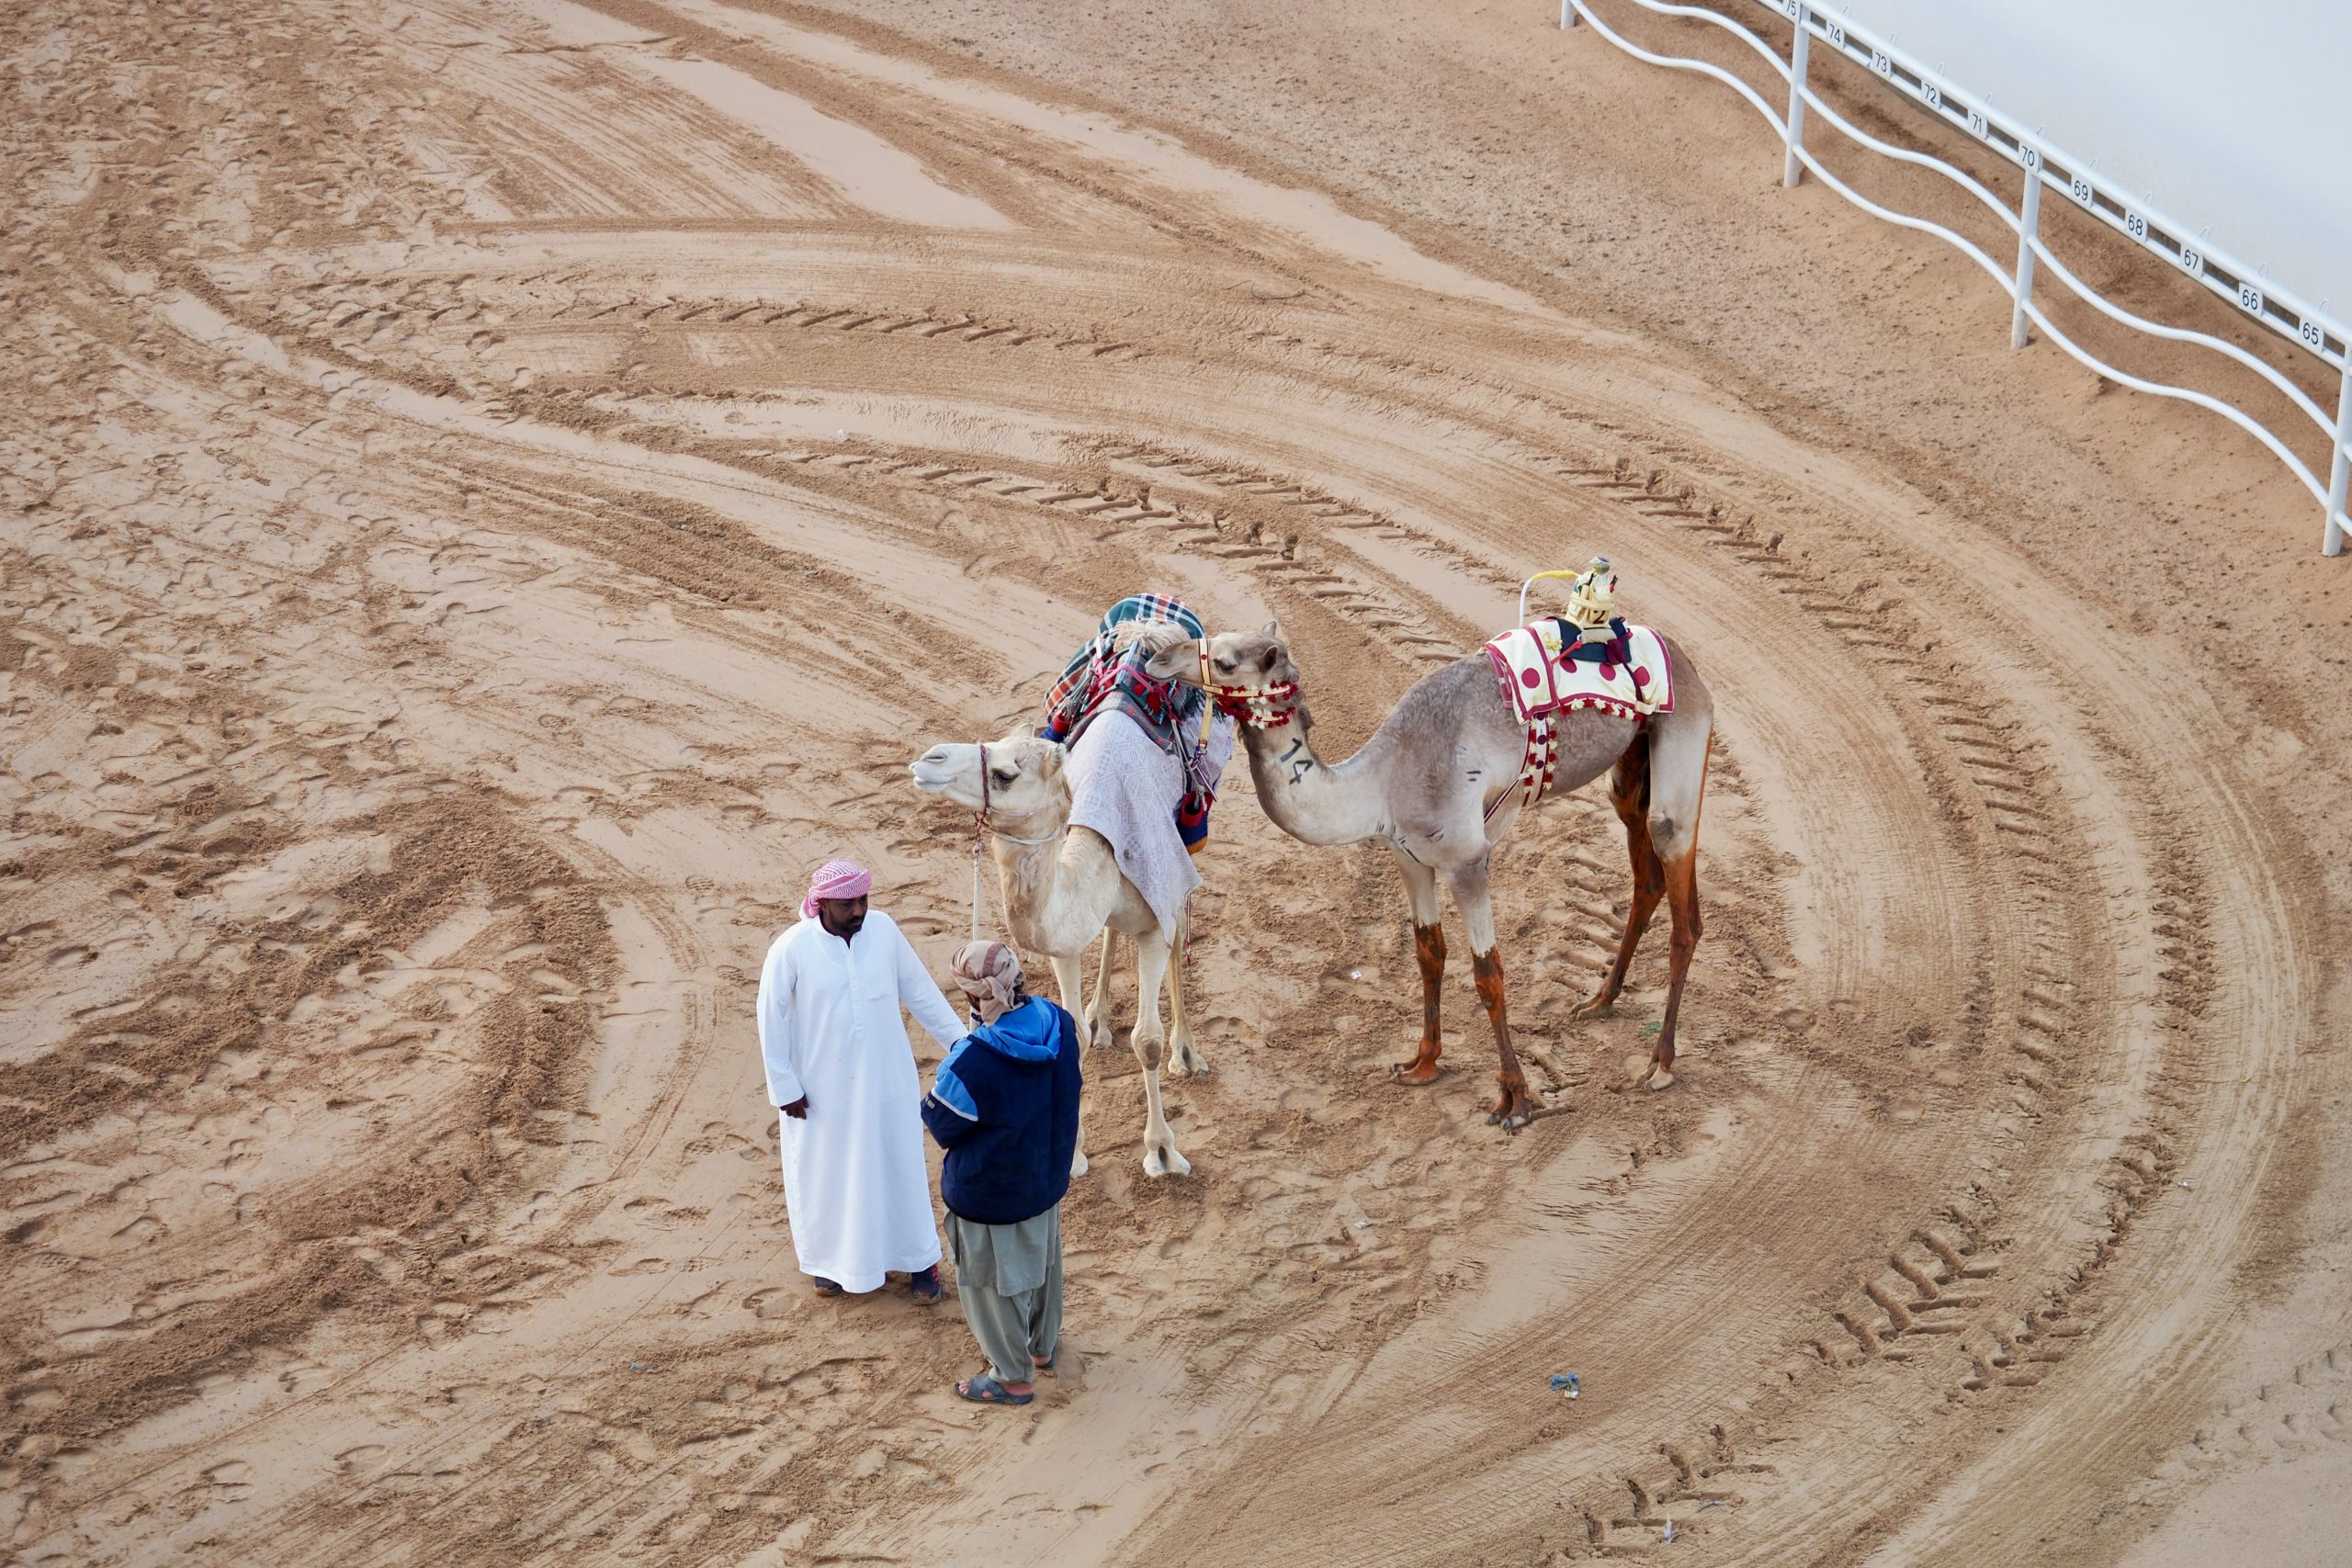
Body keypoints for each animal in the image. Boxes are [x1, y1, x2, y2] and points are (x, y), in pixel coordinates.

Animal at [898, 738, 1194, 1175]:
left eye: (1005, 774)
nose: (929, 758)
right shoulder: (1063, 937)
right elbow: (1075, 1032)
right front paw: (1073, 1155)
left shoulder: (1153, 924)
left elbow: (1147, 1041)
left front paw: (1161, 1151)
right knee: (1111, 929)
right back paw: (1101, 1019)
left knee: (1179, 916)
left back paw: (1186, 1053)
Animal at [1138, 615, 1712, 1128]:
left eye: (1226, 660)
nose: (1156, 657)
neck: (1382, 782)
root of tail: (1686, 661)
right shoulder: (1409, 856)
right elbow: (1428, 952)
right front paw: (1422, 1063)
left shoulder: (1466, 858)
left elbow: (1488, 974)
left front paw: (1515, 1100)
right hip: (1631, 761)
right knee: (1646, 876)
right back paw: (1598, 1001)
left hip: (1681, 739)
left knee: (1681, 899)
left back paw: (1659, 1065)